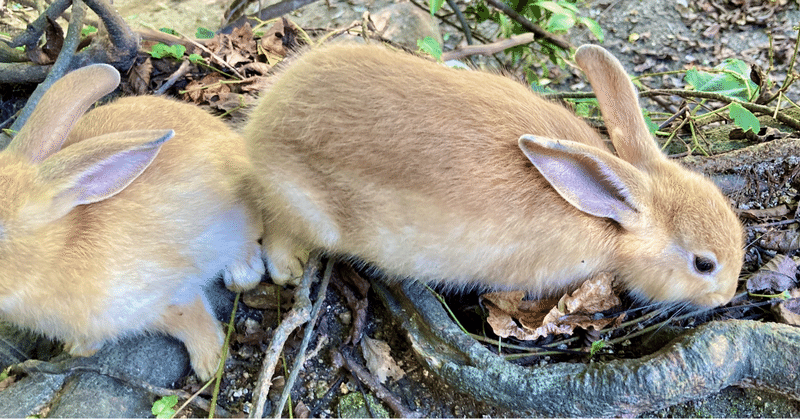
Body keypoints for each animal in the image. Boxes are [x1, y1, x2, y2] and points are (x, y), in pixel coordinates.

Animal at [1, 64, 268, 382]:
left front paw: (210, 365)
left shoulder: (164, 297)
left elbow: (190, 320)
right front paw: (79, 349)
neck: (55, 254)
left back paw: (243, 274)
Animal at [242, 43, 744, 308]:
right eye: (703, 264)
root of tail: (261, 126)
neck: (612, 224)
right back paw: (289, 271)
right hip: (305, 208)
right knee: (276, 226)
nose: (726, 297)